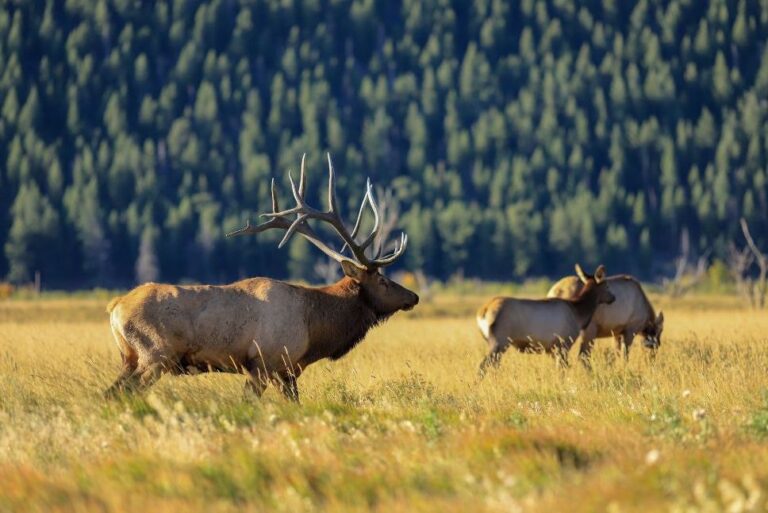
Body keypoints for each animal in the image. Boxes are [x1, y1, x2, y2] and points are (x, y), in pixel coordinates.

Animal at [104, 154, 419, 401]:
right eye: (383, 281)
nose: (413, 296)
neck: (315, 327)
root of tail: (115, 306)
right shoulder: (265, 362)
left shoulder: (286, 371)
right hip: (155, 355)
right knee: (123, 392)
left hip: (130, 357)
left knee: (111, 392)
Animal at [476, 265, 615, 375]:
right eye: (607, 286)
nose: (613, 297)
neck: (579, 315)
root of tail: (482, 313)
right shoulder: (564, 342)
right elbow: (563, 369)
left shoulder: (552, 348)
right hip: (499, 340)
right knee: (482, 366)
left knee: (493, 365)